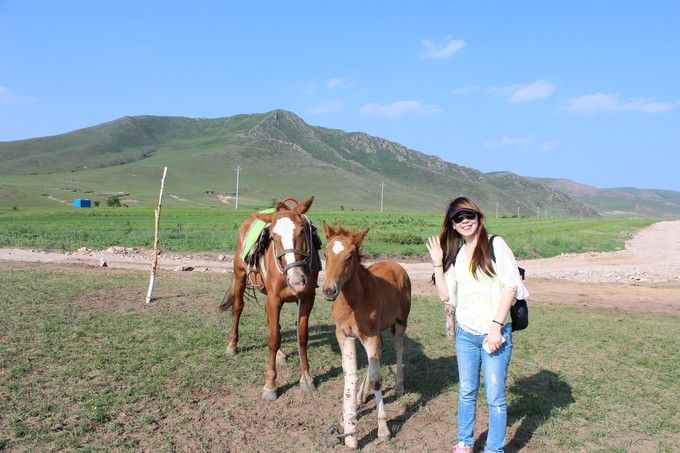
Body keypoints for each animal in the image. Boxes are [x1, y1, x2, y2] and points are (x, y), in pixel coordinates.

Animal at [220, 197, 322, 400]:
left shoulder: (307, 299)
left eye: (302, 231)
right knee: (238, 308)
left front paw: (306, 378)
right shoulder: (275, 299)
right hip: (240, 276)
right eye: (273, 238)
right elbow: (273, 339)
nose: (297, 280)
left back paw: (281, 354)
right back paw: (232, 345)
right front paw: (270, 385)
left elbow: (302, 336)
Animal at [322, 221, 412, 446]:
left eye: (350, 256)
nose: (329, 291)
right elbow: (350, 373)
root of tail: (396, 265)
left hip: (400, 322)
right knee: (377, 356)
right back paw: (361, 396)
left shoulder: (370, 337)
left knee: (398, 347)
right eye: (325, 253)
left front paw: (383, 430)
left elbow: (377, 379)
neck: (353, 303)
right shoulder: (344, 335)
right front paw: (348, 420)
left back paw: (399, 385)